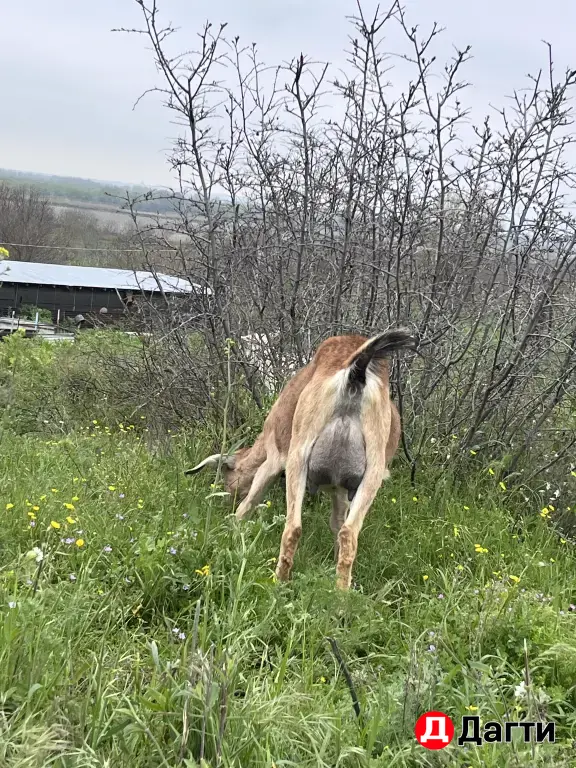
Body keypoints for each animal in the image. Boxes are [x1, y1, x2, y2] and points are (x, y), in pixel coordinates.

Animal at [187, 329, 417, 588]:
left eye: (227, 477)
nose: (225, 500)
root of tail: (356, 374)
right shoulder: (340, 489)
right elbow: (337, 524)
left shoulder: (273, 459)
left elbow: (248, 504)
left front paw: (229, 533)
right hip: (372, 472)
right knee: (348, 534)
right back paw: (341, 592)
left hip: (298, 457)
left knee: (293, 527)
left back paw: (278, 581)